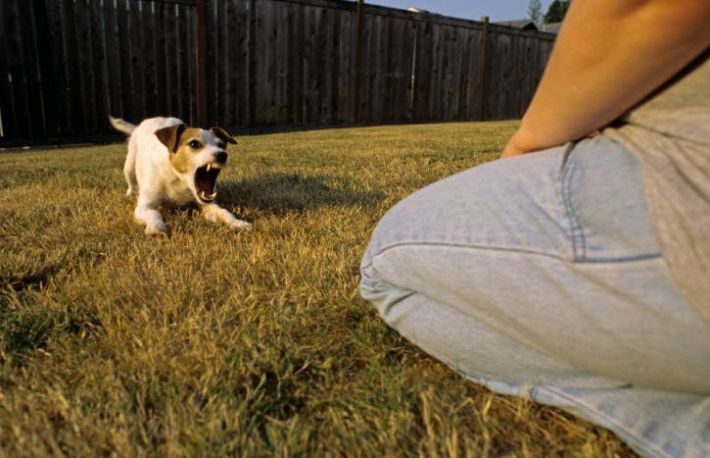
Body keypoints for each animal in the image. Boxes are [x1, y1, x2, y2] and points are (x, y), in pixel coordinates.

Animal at [109, 116, 251, 235]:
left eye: (221, 145)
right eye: (194, 143)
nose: (222, 154)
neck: (178, 179)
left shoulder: (207, 205)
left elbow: (224, 212)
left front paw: (238, 223)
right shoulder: (143, 207)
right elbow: (153, 213)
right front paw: (156, 227)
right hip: (128, 166)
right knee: (131, 183)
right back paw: (130, 193)